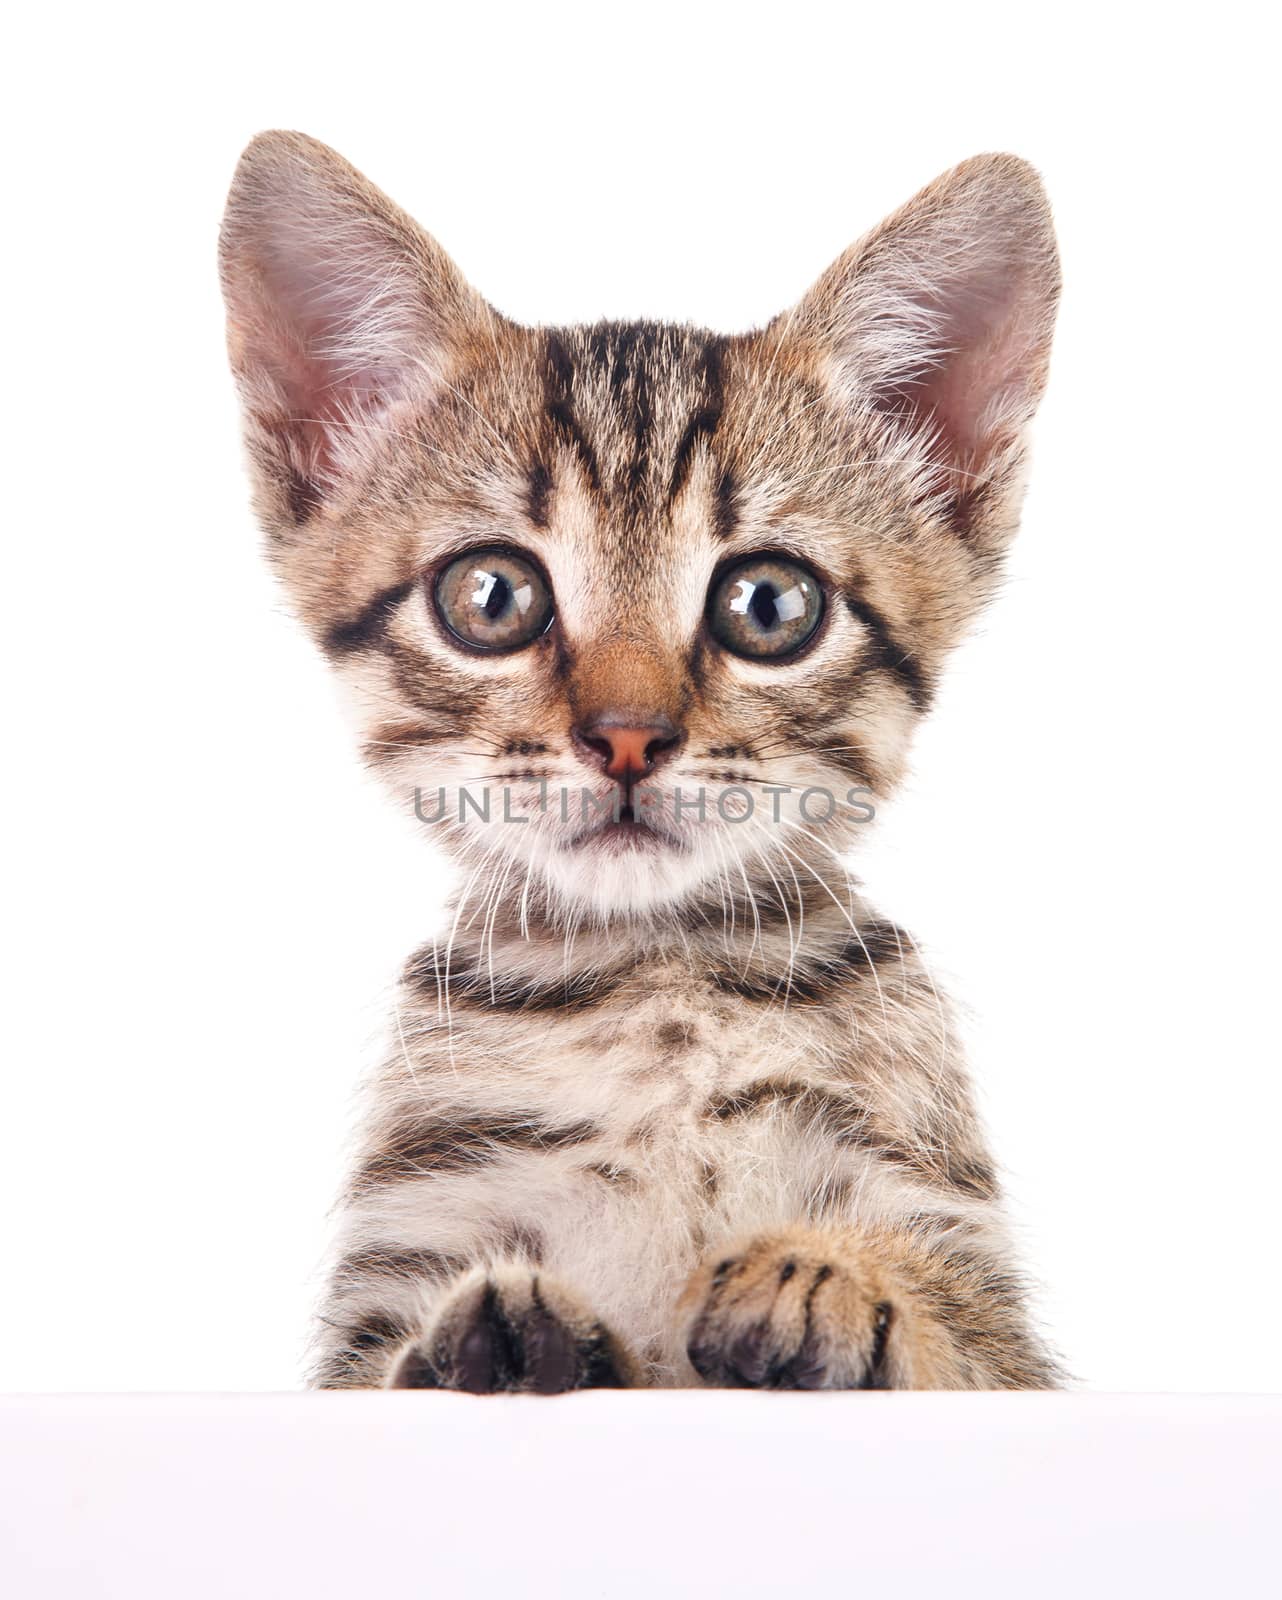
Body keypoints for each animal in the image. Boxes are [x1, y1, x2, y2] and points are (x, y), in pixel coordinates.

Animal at [220, 134, 1062, 1388]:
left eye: (770, 604)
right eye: (491, 596)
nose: (627, 736)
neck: (651, 986)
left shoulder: (949, 1240)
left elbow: (960, 1327)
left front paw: (838, 1277)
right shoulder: (402, 1257)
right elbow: (394, 1359)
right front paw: (483, 1338)